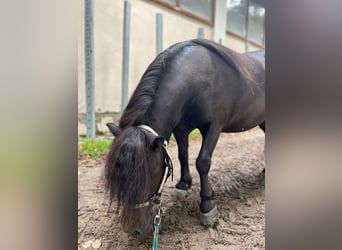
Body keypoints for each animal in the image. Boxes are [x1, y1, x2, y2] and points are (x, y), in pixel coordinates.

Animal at [105, 38, 264, 236]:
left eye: (150, 174)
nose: (133, 230)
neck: (197, 79)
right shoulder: (181, 128)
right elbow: (183, 155)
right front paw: (183, 184)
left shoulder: (213, 126)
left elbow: (202, 162)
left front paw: (207, 205)